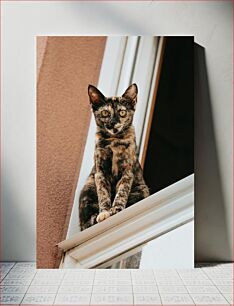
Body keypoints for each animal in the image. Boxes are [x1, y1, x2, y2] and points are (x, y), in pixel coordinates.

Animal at [78, 82, 148, 231]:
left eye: (122, 112)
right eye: (105, 113)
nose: (113, 123)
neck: (114, 140)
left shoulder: (127, 172)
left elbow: (121, 192)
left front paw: (116, 209)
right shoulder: (100, 173)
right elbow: (103, 194)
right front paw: (104, 213)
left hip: (142, 189)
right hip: (88, 187)